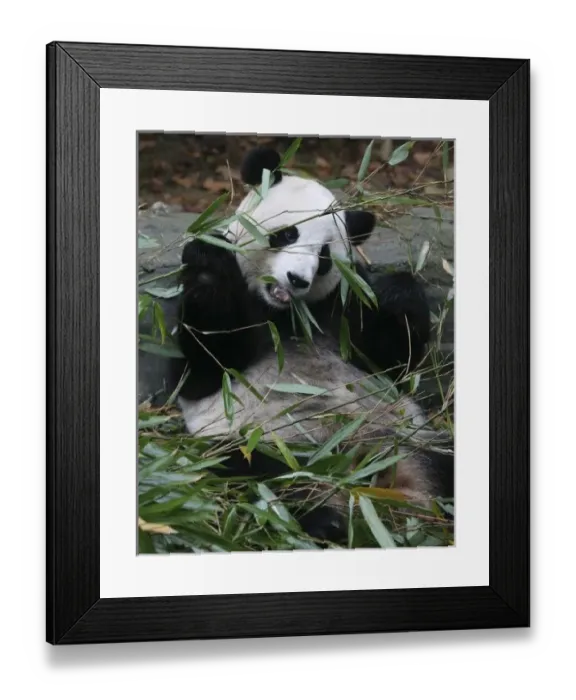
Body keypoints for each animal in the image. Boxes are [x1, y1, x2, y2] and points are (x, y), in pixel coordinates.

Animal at [165, 145, 454, 545]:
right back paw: (326, 518)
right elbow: (204, 371)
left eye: (324, 257)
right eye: (287, 234)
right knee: (270, 474)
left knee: (445, 462)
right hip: (266, 444)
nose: (297, 279)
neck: (284, 313)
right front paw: (210, 261)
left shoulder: (343, 305)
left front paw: (397, 291)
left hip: (413, 437)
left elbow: (393, 361)